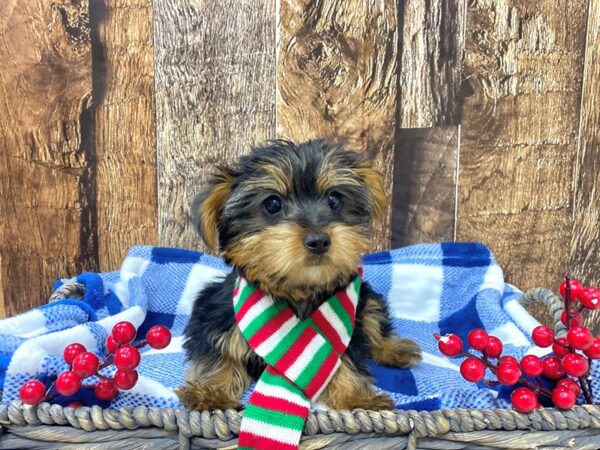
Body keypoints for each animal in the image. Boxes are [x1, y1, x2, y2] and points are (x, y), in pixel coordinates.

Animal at [177, 141, 422, 412]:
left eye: (334, 199)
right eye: (272, 204)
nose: (319, 240)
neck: (298, 289)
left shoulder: (346, 327)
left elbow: (345, 357)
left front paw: (356, 398)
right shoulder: (216, 316)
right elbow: (219, 352)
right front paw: (211, 393)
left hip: (365, 298)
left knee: (374, 321)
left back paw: (394, 349)